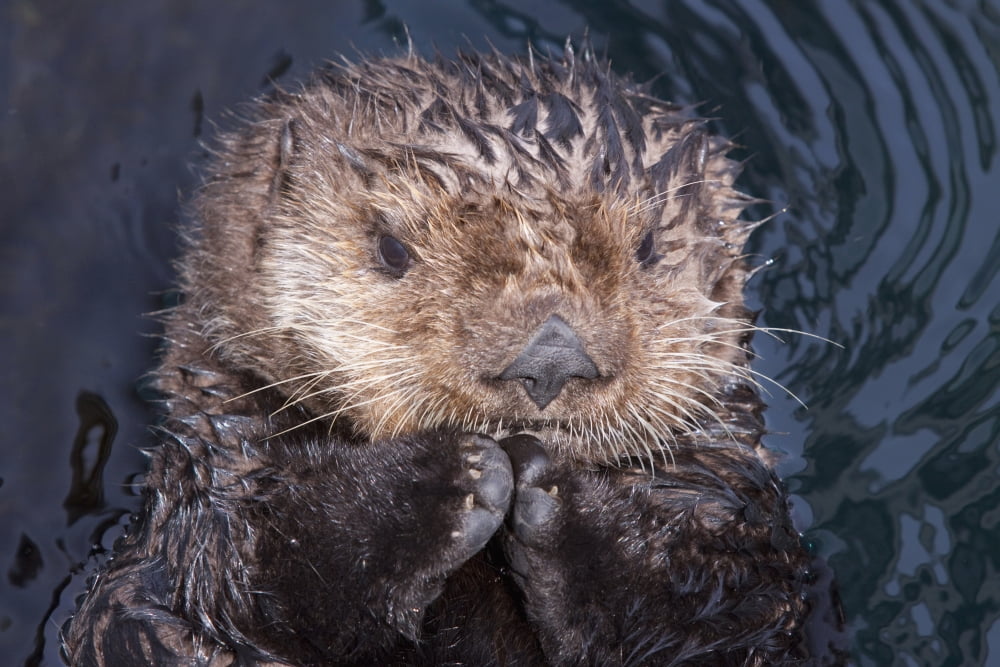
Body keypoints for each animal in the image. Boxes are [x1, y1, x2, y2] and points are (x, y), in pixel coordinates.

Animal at [64, 44, 842, 665]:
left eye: (649, 247)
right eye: (391, 249)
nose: (550, 360)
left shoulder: (733, 519)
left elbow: (724, 607)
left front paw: (555, 499)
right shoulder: (209, 489)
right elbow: (229, 577)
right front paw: (446, 478)